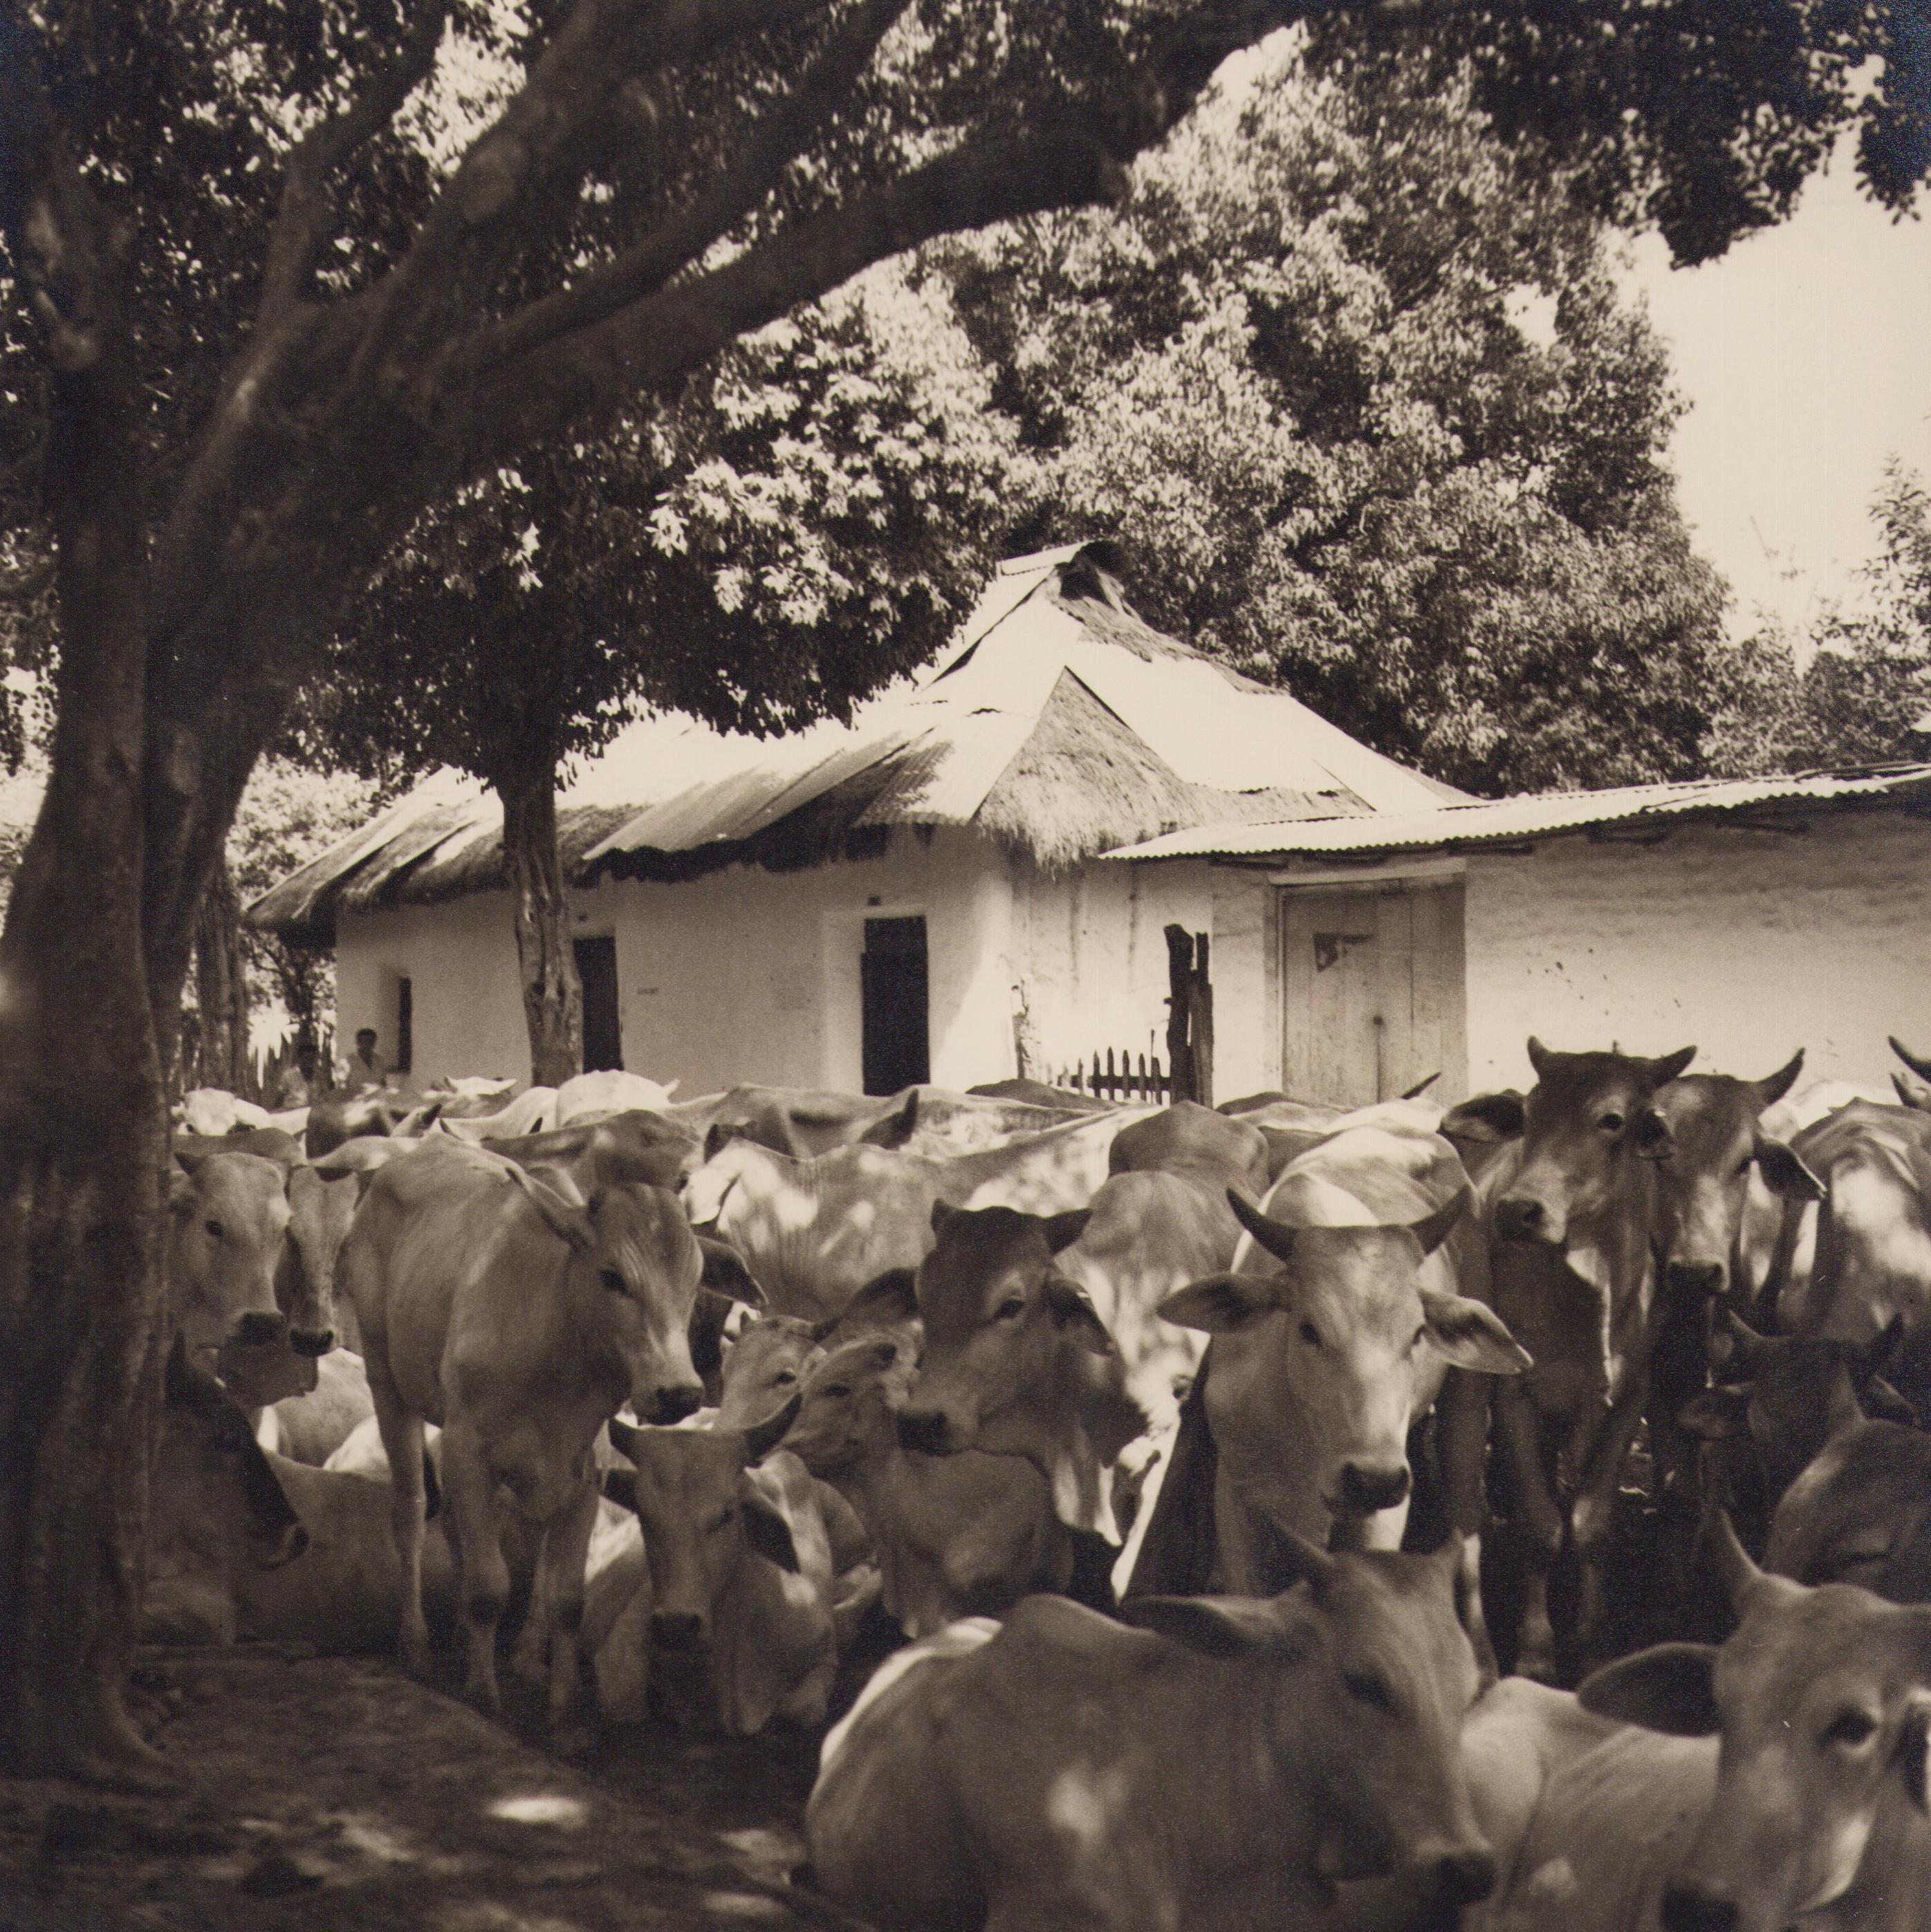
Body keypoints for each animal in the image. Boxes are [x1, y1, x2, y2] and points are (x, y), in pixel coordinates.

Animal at [587, 1406, 847, 1738]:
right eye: (644, 1515)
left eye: (727, 1514)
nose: (676, 1626)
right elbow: (623, 1703)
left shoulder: (826, 1654)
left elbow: (801, 1711)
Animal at [1445, 1035, 1701, 1684]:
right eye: (1530, 1114)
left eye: (1611, 1120)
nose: (1518, 1210)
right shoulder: (1514, 1392)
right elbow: (1540, 1526)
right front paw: (1536, 1651)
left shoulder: (1628, 1397)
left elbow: (1587, 1525)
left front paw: (1588, 1643)